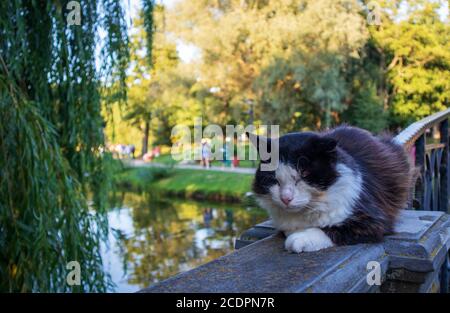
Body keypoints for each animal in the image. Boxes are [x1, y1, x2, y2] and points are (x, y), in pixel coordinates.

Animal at [248, 125, 414, 252]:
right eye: (273, 177)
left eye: (304, 173)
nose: (286, 198)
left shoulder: (372, 221)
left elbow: (331, 230)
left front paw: (300, 239)